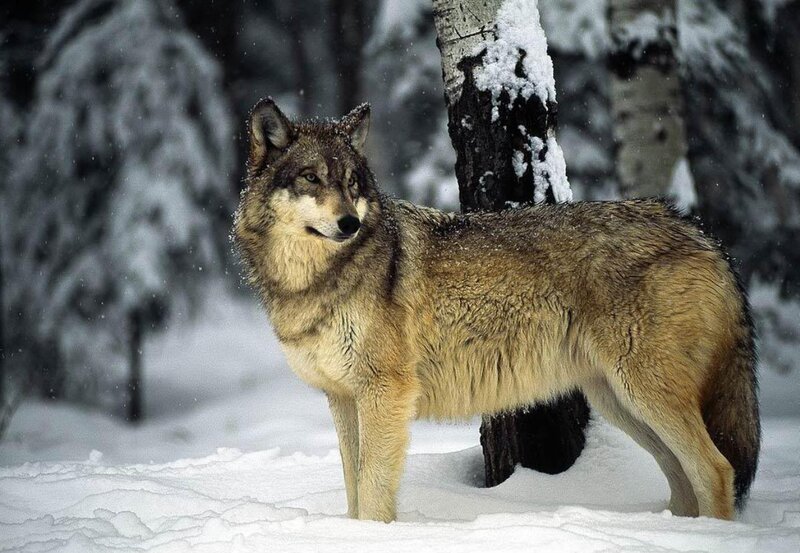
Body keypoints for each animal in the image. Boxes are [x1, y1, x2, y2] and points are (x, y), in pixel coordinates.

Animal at [233, 98, 761, 523]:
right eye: (311, 179)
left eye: (351, 183)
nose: (349, 223)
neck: (315, 282)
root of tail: (702, 235)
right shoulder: (342, 398)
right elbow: (352, 488)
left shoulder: (385, 393)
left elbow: (373, 493)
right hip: (620, 401)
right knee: (683, 478)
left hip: (644, 394)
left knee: (716, 469)